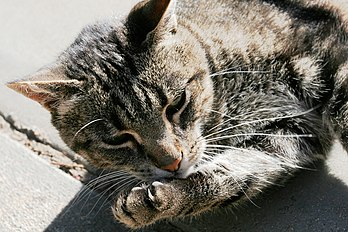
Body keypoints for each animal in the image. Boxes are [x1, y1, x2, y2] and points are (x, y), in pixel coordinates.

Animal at [6, 0, 348, 229]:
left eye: (176, 104)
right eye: (117, 140)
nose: (172, 162)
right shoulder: (287, 132)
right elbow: (232, 175)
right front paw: (158, 202)